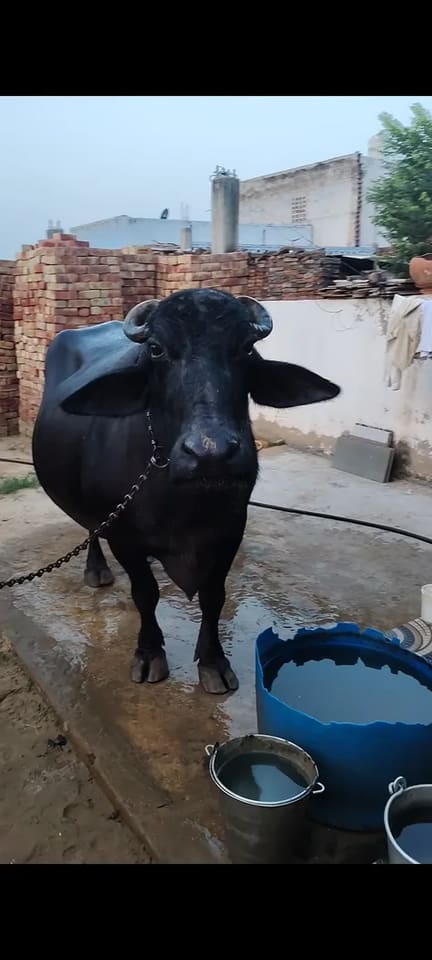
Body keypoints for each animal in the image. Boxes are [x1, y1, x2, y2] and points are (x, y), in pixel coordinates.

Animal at [32, 288, 340, 693]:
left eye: (245, 348)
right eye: (157, 349)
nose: (212, 453)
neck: (184, 504)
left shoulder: (230, 533)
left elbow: (213, 597)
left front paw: (213, 662)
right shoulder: (124, 538)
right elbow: (145, 594)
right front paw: (149, 654)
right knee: (90, 528)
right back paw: (96, 570)